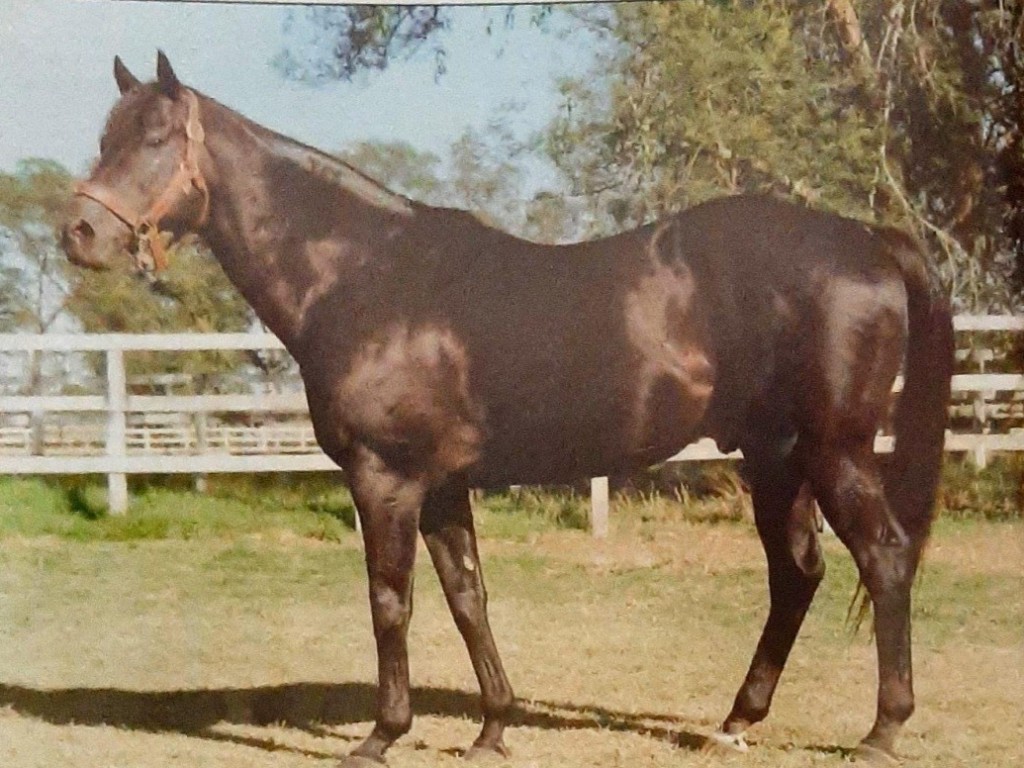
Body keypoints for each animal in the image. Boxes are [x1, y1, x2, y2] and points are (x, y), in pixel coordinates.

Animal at [61, 52, 950, 765]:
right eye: (106, 137)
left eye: (155, 139)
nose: (79, 234)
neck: (363, 275)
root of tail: (868, 239)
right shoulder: (442, 487)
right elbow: (468, 599)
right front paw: (492, 727)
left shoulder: (386, 480)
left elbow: (391, 603)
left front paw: (382, 734)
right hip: (776, 457)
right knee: (796, 573)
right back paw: (736, 721)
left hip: (834, 450)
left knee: (885, 557)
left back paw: (882, 730)